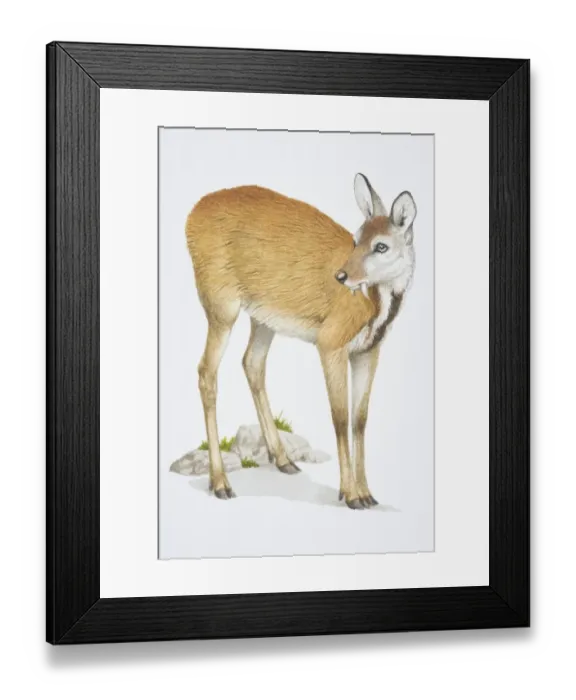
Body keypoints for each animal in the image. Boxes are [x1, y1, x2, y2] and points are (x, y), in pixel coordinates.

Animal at [185, 174, 417, 509]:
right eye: (356, 239)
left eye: (381, 245)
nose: (342, 276)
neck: (371, 306)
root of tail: (191, 215)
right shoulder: (330, 342)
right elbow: (339, 417)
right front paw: (350, 495)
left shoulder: (368, 351)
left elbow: (360, 419)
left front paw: (367, 494)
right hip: (221, 304)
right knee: (206, 372)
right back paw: (221, 484)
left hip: (262, 317)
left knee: (251, 363)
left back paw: (283, 459)